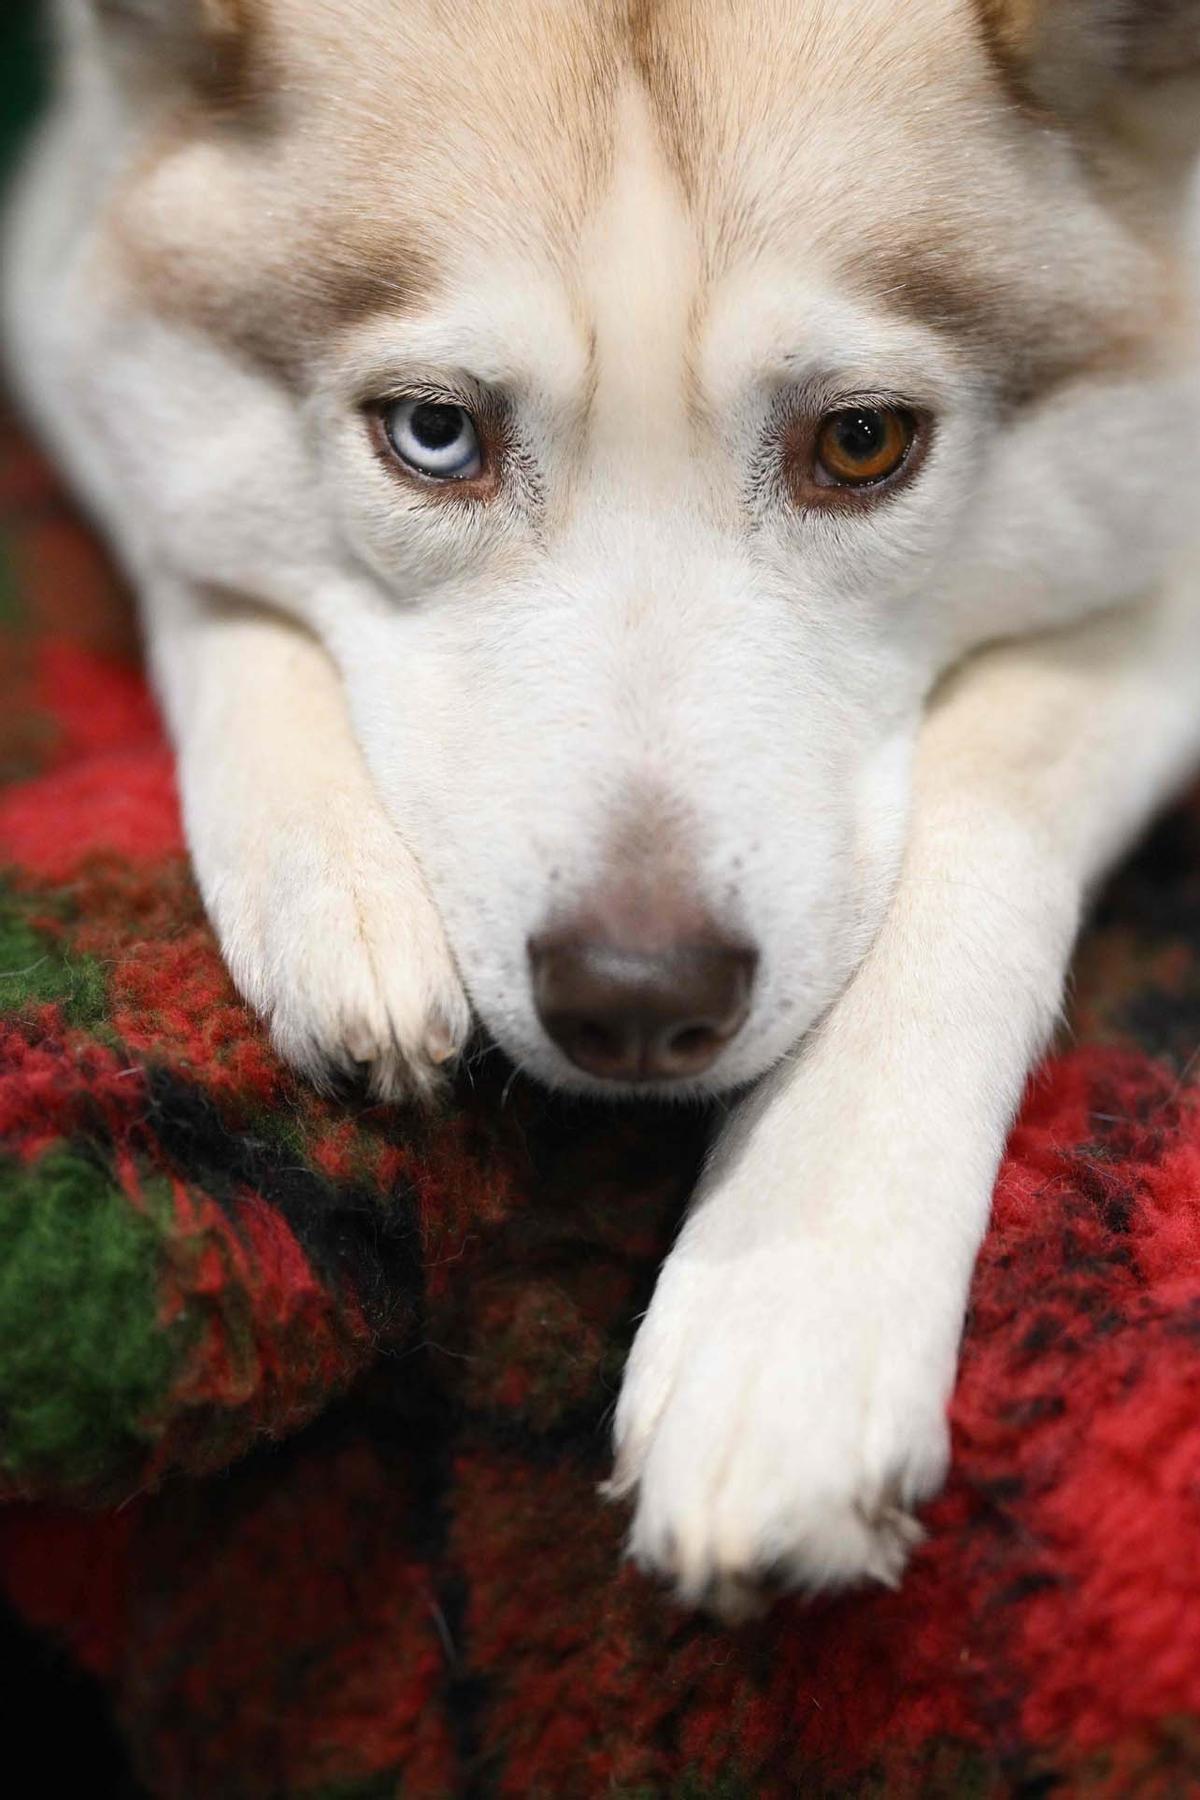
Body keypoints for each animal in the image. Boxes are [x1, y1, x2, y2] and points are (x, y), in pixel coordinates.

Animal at [7, 0, 1200, 1627]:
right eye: (434, 433)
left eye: (864, 443)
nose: (638, 996)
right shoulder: (60, 280)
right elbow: (193, 563)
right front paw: (331, 881)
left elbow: (988, 782)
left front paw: (798, 1291)